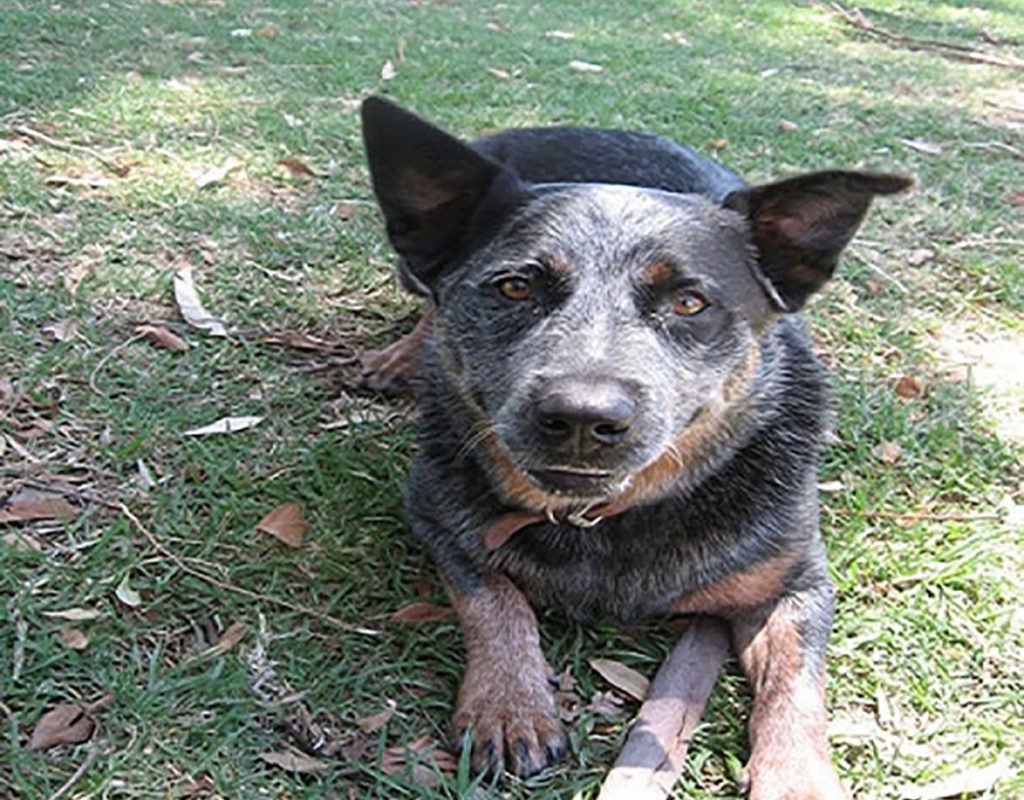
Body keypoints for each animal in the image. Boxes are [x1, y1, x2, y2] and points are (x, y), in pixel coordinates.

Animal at [360, 95, 913, 798]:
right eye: (514, 287)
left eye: (689, 302)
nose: (581, 417)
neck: (605, 523)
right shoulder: (436, 518)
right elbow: (495, 598)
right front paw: (509, 705)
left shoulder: (797, 584)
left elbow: (796, 689)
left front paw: (799, 778)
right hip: (412, 264)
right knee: (430, 304)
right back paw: (403, 356)